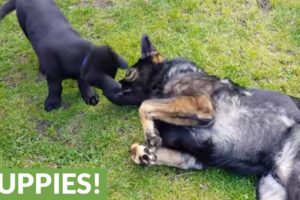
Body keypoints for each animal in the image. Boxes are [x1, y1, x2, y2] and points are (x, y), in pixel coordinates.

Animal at [106, 35, 300, 199]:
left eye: (129, 73)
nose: (108, 89)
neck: (166, 77)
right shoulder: (192, 158)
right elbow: (135, 147)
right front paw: (144, 153)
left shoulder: (201, 106)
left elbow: (145, 104)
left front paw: (149, 133)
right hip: (270, 188)